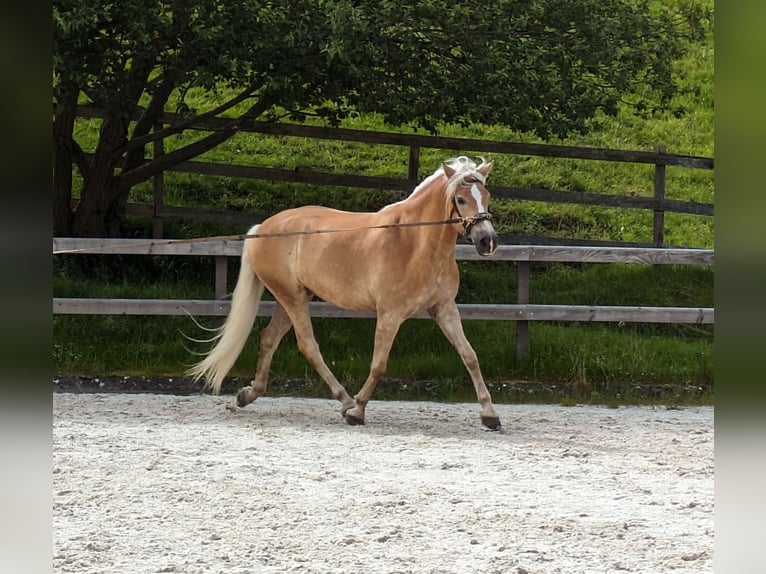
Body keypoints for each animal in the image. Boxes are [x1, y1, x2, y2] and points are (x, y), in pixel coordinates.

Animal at [189, 155, 504, 430]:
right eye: (461, 199)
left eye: (487, 196)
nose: (487, 241)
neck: (414, 240)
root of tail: (263, 227)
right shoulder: (390, 314)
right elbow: (378, 365)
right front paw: (358, 411)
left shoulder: (444, 309)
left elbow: (469, 356)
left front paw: (490, 416)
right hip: (292, 298)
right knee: (308, 346)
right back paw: (345, 401)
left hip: (294, 297)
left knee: (268, 339)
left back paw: (248, 394)